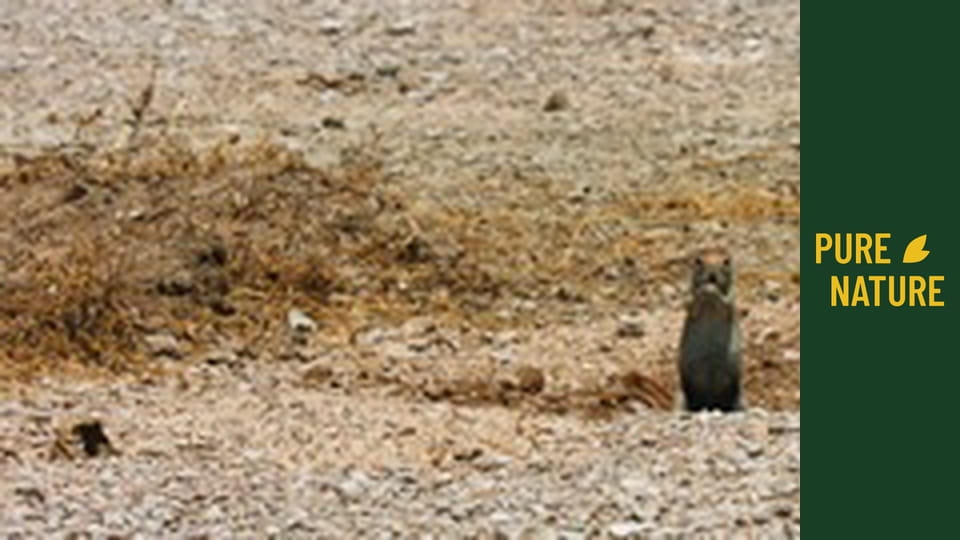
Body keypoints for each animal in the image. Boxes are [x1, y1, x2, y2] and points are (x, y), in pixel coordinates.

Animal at [677, 248, 745, 412]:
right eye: (698, 260)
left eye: (727, 261)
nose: (712, 273)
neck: (710, 303)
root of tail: (710, 404)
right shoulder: (691, 302)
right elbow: (692, 303)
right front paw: (705, 289)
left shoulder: (731, 299)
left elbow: (726, 303)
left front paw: (711, 290)